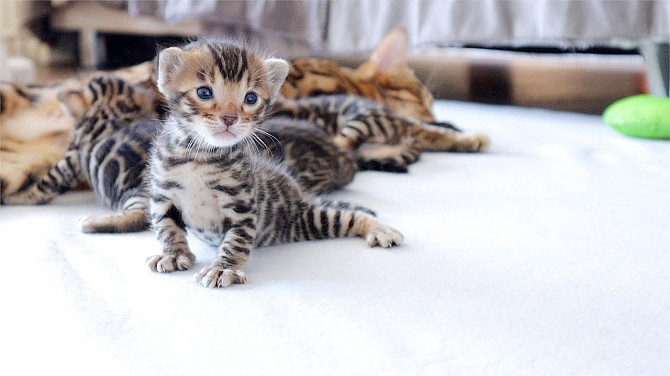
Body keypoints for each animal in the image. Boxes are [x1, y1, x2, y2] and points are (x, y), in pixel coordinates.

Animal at [148, 39, 404, 288]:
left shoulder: (242, 205)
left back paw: (380, 229)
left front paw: (223, 268)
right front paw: (174, 254)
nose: (230, 119)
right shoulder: (162, 197)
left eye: (250, 98)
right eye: (204, 92)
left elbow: (236, 240)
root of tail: (301, 196)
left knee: (348, 217)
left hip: (310, 221)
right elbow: (167, 228)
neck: (199, 156)